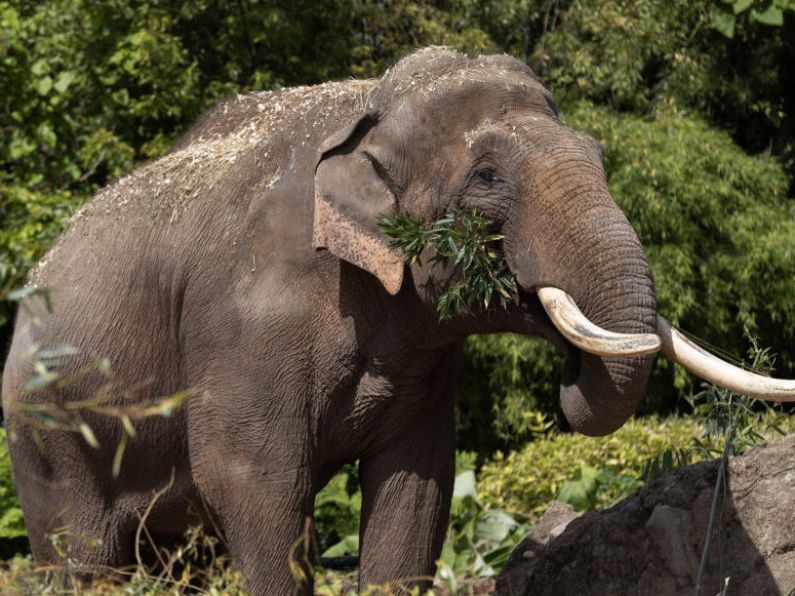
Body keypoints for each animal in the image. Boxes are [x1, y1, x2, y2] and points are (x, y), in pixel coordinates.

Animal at [4, 45, 795, 592]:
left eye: (598, 155)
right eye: (486, 178)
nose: (571, 376)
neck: (368, 112)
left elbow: (417, 486)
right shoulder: (243, 321)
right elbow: (252, 481)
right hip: (45, 434)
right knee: (81, 556)